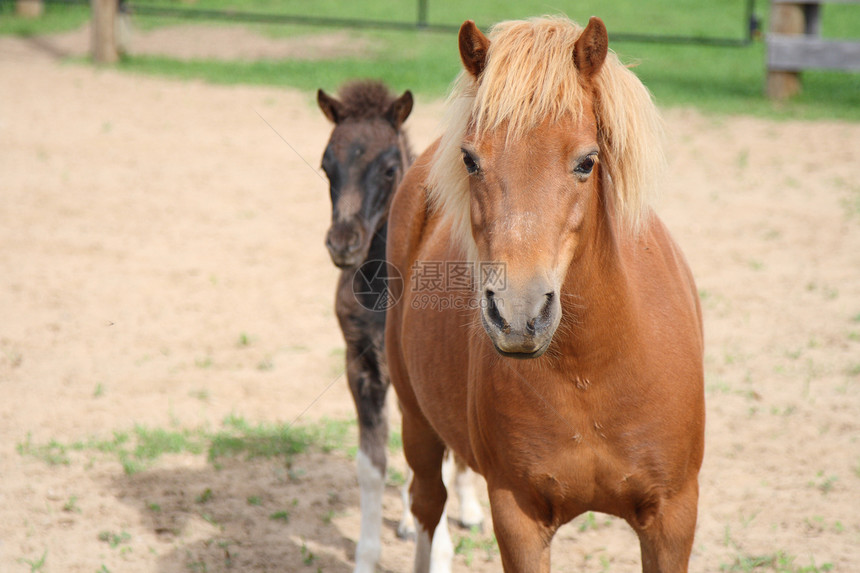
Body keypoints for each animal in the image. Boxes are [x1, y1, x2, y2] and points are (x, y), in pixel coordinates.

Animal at [388, 15, 704, 568]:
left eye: (587, 161)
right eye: (470, 159)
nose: (519, 314)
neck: (591, 372)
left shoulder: (673, 519)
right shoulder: (519, 517)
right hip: (416, 422)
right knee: (427, 505)